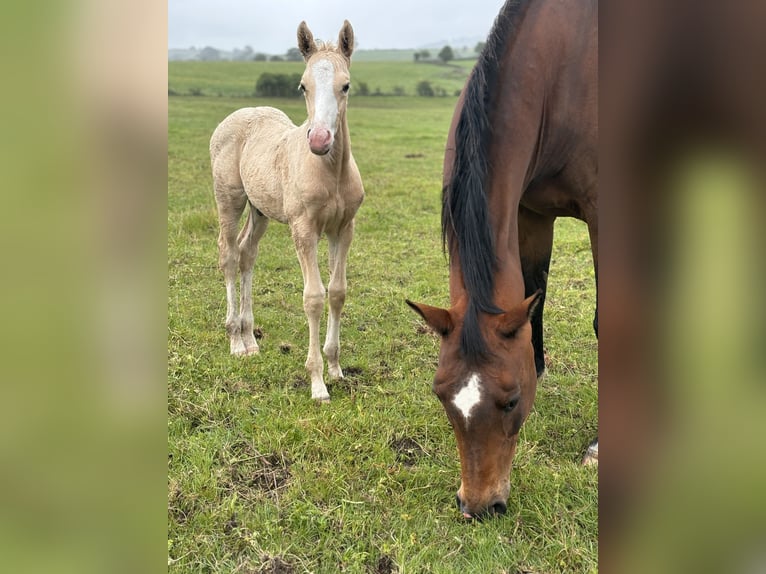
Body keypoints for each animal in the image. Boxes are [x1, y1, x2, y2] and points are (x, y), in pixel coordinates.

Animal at [210, 20, 366, 402]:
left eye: (346, 85)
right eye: (302, 86)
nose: (319, 140)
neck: (330, 172)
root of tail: (242, 113)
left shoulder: (344, 228)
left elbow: (337, 292)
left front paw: (336, 368)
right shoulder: (303, 229)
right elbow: (313, 297)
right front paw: (317, 383)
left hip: (260, 210)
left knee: (247, 253)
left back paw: (251, 339)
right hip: (230, 200)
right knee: (229, 255)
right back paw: (235, 340)